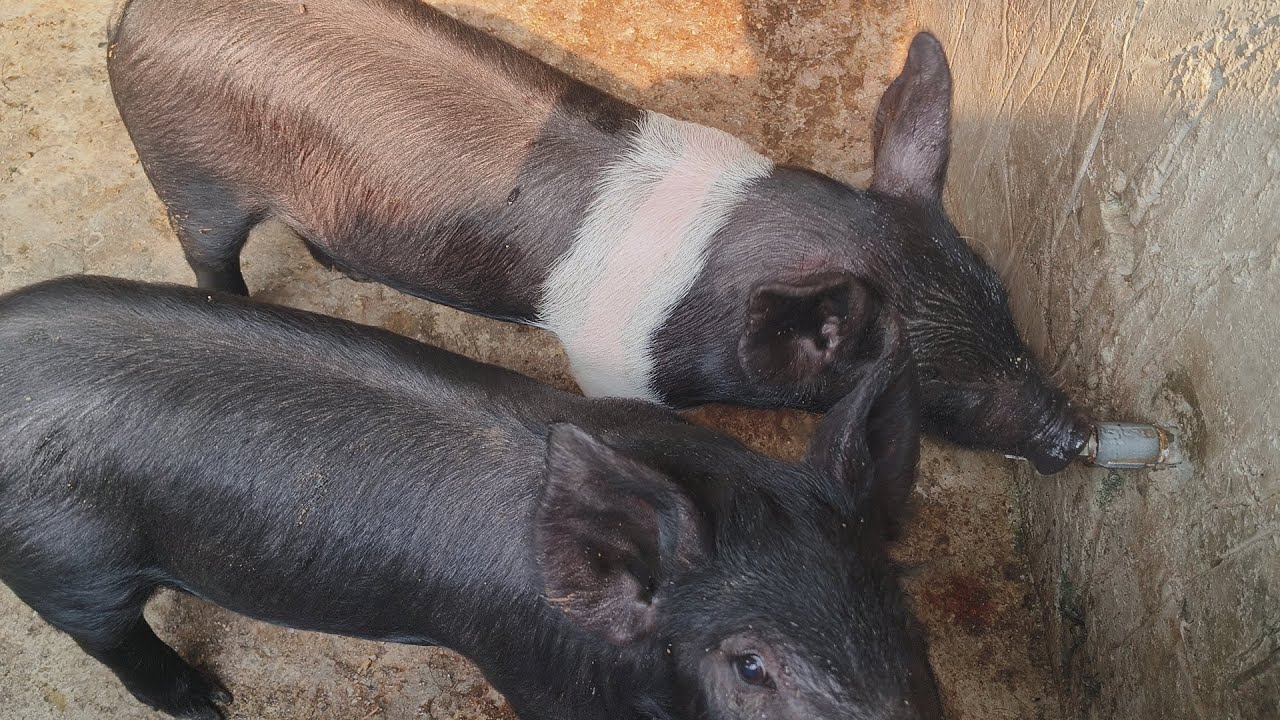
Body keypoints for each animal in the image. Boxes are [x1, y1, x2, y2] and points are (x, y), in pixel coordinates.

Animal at [0, 275, 942, 720]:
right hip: (64, 556)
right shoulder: (540, 676)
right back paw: (210, 702)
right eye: (750, 666)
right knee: (109, 636)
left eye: (911, 617)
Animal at [106, 0, 1089, 473]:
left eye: (1007, 306)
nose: (1075, 436)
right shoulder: (608, 362)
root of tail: (135, 19)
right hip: (184, 166)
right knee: (206, 250)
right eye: (946, 395)